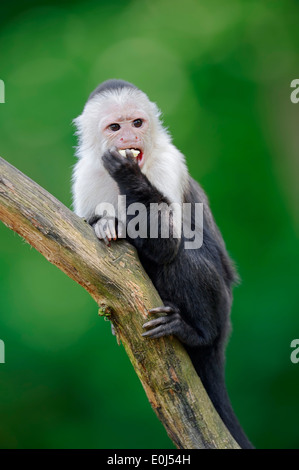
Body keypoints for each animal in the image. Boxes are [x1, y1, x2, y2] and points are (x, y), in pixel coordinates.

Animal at [71, 79, 254, 450]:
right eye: (116, 127)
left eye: (137, 123)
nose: (130, 137)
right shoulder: (84, 177)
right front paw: (102, 222)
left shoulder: (167, 165)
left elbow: (167, 245)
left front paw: (128, 176)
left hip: (221, 307)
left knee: (182, 255)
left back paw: (196, 333)